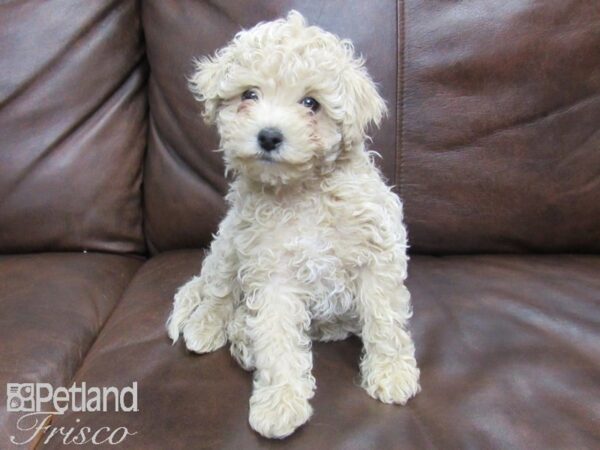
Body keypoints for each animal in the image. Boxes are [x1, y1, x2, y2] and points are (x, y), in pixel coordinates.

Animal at [168, 10, 422, 440]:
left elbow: (385, 320)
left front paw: (391, 373)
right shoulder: (272, 273)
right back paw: (208, 328)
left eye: (311, 103)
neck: (302, 191)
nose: (269, 136)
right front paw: (280, 403)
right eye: (249, 95)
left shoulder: (376, 254)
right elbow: (276, 338)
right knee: (217, 291)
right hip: (228, 243)